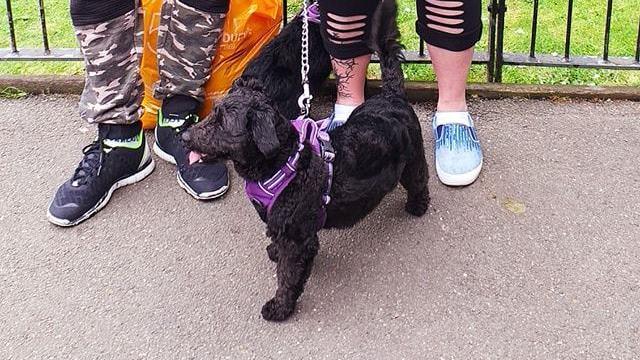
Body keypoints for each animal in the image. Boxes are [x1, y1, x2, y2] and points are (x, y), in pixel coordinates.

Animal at [182, 0, 428, 320]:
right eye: (213, 114)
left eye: (223, 124)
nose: (185, 136)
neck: (283, 161)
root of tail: (392, 96)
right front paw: (273, 253)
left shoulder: (298, 240)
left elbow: (288, 276)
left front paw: (280, 307)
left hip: (413, 162)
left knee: (420, 182)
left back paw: (417, 207)